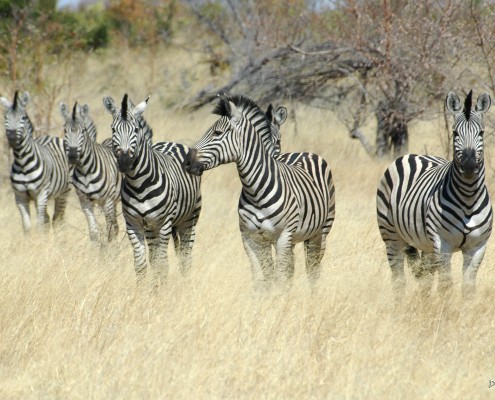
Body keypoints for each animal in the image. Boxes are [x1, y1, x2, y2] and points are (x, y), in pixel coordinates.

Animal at [0, 91, 71, 233]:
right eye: (5, 117)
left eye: (22, 118)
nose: (12, 138)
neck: (22, 162)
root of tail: (50, 136)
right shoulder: (20, 197)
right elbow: (27, 226)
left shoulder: (41, 194)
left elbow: (38, 225)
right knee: (48, 218)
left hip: (63, 193)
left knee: (57, 219)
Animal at [60, 101, 122, 242]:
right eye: (65, 130)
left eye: (83, 131)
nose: (72, 156)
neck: (85, 172)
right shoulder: (85, 203)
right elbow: (94, 233)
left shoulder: (107, 201)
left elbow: (109, 231)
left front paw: (111, 248)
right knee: (116, 226)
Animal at [102, 92, 202, 282]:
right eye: (112, 129)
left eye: (135, 130)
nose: (124, 162)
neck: (138, 184)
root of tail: (171, 142)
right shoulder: (133, 224)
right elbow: (141, 265)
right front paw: (144, 290)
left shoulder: (164, 224)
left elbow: (162, 265)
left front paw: (161, 290)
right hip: (151, 229)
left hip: (189, 219)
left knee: (186, 257)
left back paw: (186, 283)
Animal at [186, 94, 338, 294]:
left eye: (217, 133)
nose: (187, 162)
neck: (256, 191)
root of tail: (304, 153)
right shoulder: (250, 238)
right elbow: (261, 279)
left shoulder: (283, 235)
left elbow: (280, 277)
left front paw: (280, 301)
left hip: (321, 231)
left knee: (313, 269)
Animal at [378, 90, 494, 296]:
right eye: (455, 133)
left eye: (481, 133)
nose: (469, 166)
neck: (468, 198)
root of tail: (415, 155)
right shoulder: (442, 243)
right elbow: (446, 284)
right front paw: (446, 305)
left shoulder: (478, 246)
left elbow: (468, 287)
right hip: (391, 236)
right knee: (399, 279)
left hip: (425, 244)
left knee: (425, 277)